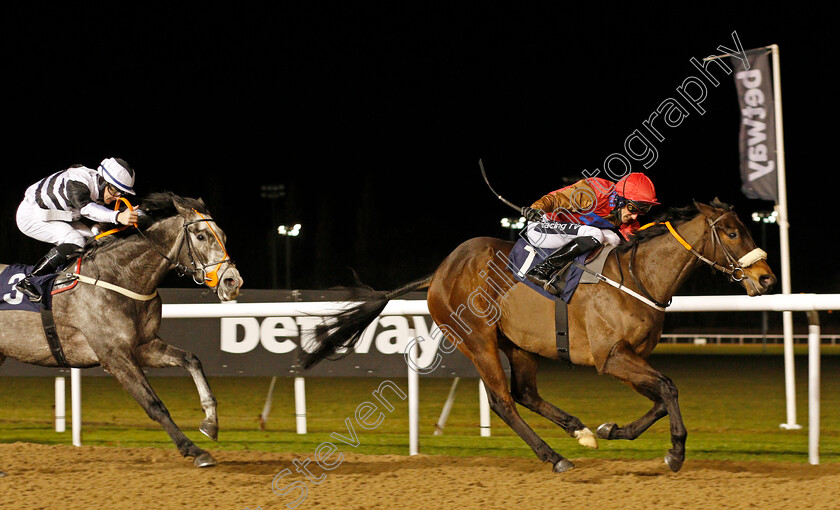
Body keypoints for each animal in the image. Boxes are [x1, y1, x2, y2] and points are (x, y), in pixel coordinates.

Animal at [0, 191, 243, 470]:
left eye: (224, 235)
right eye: (201, 235)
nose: (233, 281)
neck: (118, 277)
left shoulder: (144, 345)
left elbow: (192, 360)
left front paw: (210, 422)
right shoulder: (114, 356)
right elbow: (154, 404)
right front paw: (194, 450)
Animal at [300, 199, 776, 474]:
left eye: (749, 228)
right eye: (732, 232)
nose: (767, 278)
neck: (638, 276)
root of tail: (438, 272)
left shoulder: (630, 358)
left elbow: (660, 398)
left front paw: (609, 430)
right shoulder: (610, 357)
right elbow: (669, 388)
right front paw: (675, 454)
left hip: (521, 344)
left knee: (526, 392)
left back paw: (579, 432)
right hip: (478, 340)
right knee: (504, 402)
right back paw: (555, 457)